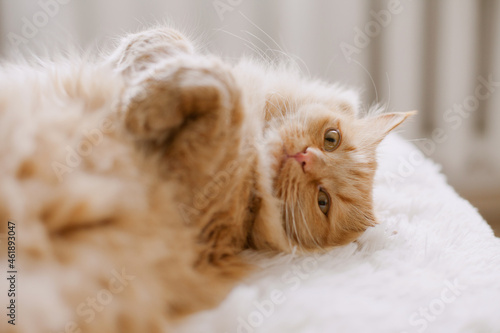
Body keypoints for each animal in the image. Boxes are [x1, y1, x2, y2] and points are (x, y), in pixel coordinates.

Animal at [0, 27, 414, 330]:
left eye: (323, 201)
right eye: (332, 139)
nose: (306, 159)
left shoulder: (195, 202)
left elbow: (222, 85)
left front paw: (140, 107)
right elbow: (169, 41)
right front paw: (141, 72)